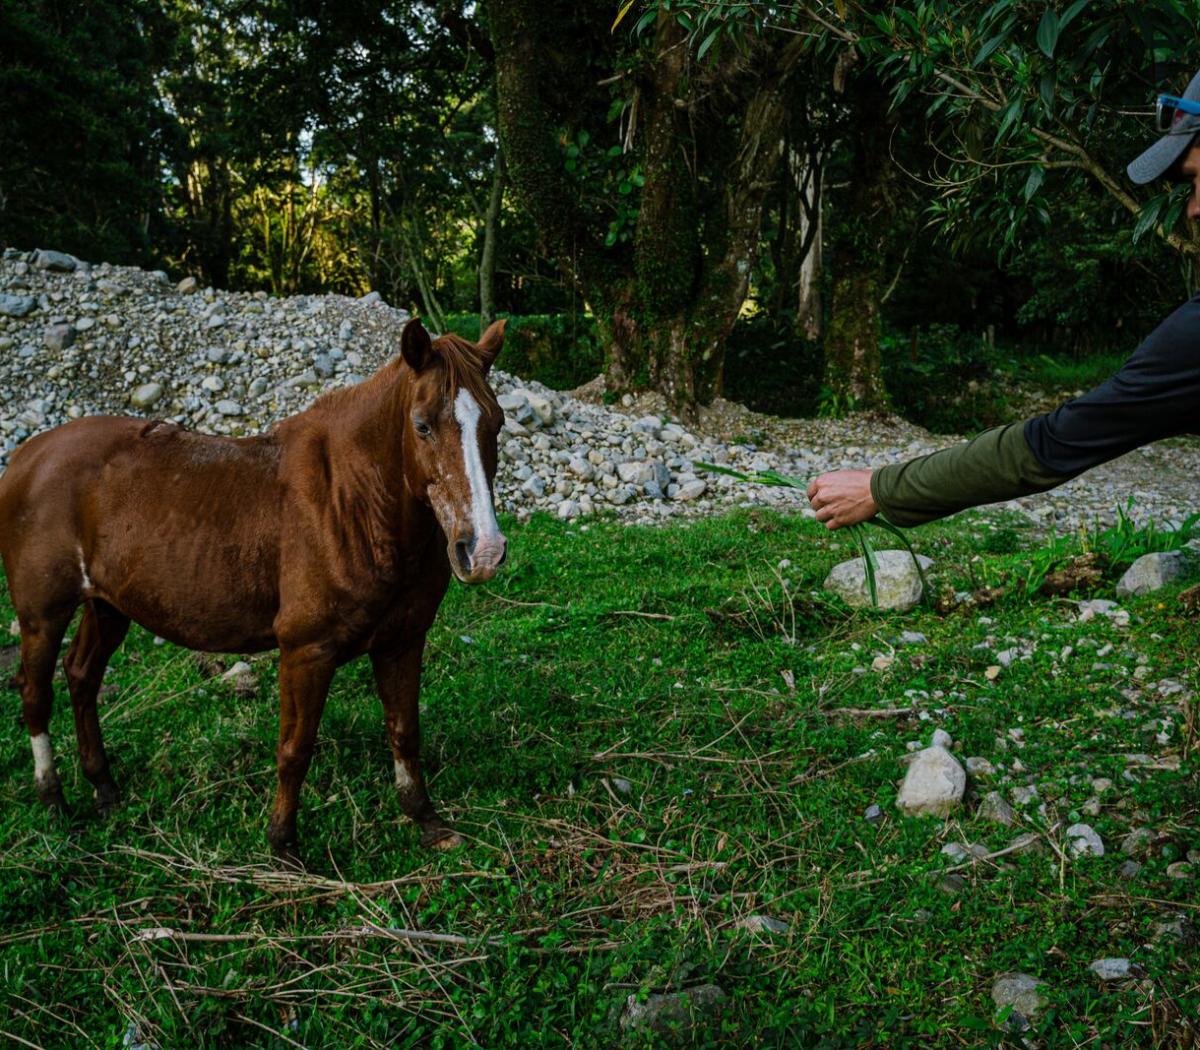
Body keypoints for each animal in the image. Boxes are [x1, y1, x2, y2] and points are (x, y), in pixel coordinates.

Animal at [0, 319, 506, 864]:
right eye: (422, 425)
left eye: (496, 424)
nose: (482, 550)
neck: (352, 501)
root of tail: (26, 456)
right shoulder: (306, 650)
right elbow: (295, 748)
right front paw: (283, 843)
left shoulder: (403, 640)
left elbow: (404, 730)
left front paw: (425, 819)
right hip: (42, 615)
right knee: (35, 693)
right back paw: (53, 798)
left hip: (108, 606)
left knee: (82, 677)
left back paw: (104, 788)